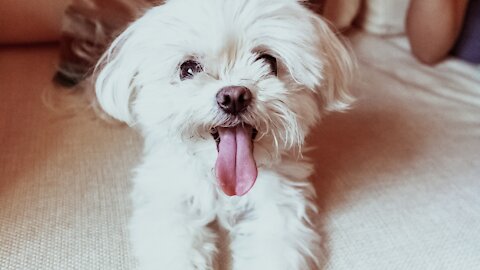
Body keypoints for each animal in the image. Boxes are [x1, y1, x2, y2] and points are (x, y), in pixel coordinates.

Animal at [94, 1, 352, 268]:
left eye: (268, 61)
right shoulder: (169, 197)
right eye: (187, 68)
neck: (219, 178)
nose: (234, 97)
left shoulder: (281, 203)